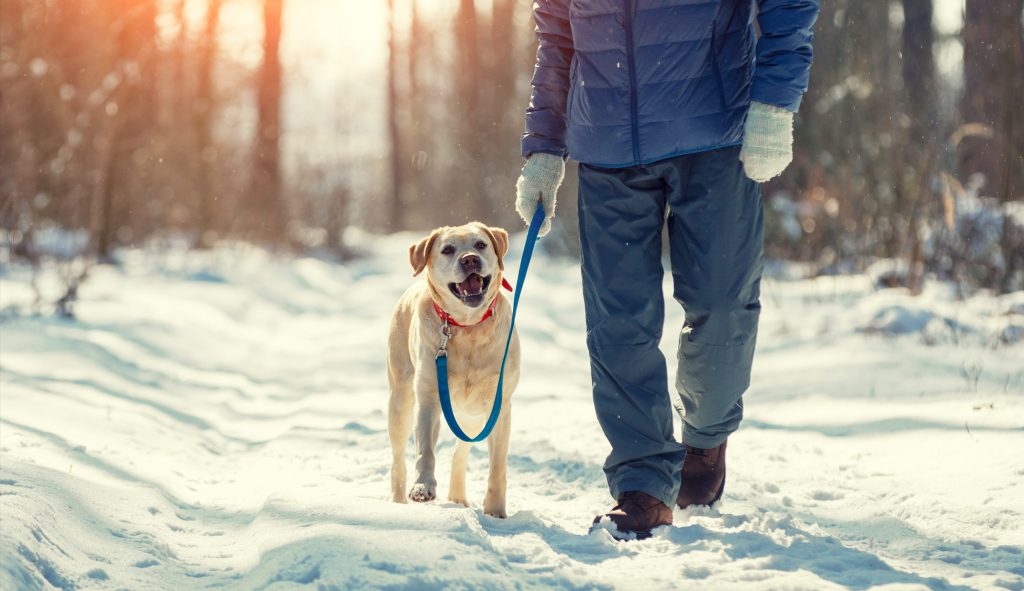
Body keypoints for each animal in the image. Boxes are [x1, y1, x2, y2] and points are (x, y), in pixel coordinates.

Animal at [389, 221, 524, 516]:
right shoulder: (428, 398)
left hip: (472, 416)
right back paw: (398, 500)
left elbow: (498, 466)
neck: (468, 326)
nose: (470, 259)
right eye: (448, 249)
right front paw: (423, 487)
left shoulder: (499, 405)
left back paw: (458, 495)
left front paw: (495, 511)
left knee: (459, 452)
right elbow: (425, 451)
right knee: (398, 458)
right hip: (401, 399)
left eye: (481, 245)